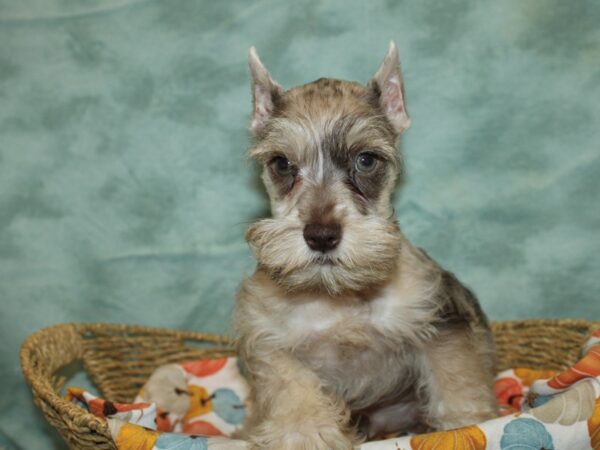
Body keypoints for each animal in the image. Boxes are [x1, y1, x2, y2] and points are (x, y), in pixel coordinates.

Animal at [234, 40, 496, 448]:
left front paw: (466, 425)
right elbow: (293, 393)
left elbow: (457, 385)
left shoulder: (441, 323)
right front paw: (304, 432)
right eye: (281, 163)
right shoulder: (269, 342)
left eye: (367, 159)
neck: (338, 297)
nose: (321, 236)